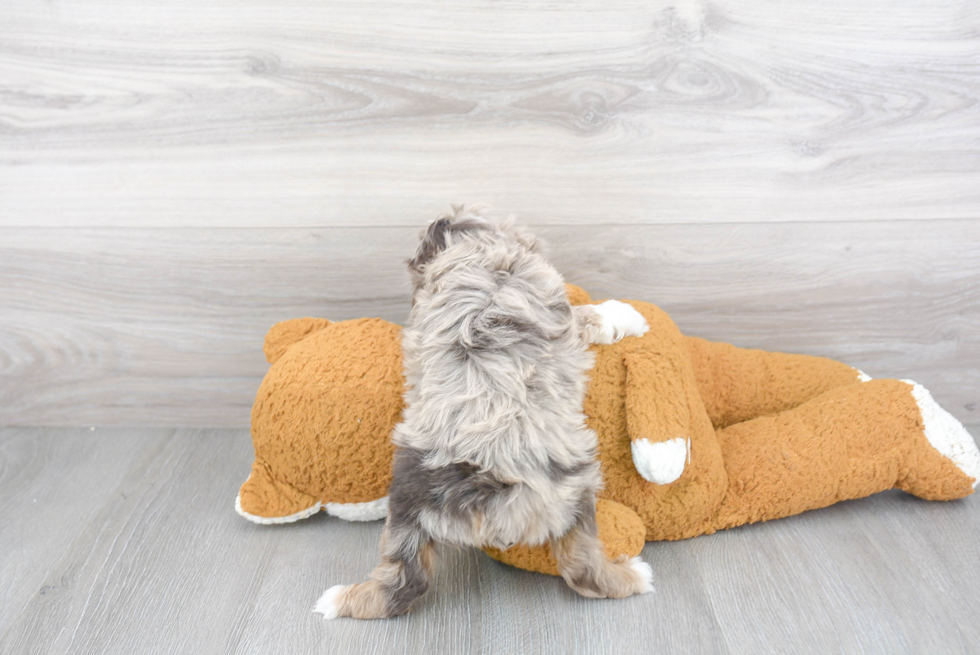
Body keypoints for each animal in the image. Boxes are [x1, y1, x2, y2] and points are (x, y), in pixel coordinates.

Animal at [314, 206, 652, 620]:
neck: (476, 249)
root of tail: (485, 489)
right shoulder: (564, 313)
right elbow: (592, 315)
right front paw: (626, 314)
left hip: (406, 510)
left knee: (403, 585)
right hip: (577, 487)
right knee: (582, 568)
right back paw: (633, 576)